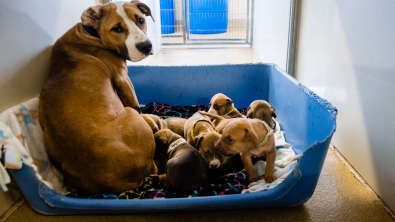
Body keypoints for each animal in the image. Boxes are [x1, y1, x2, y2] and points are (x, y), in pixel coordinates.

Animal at [39, 2, 157, 195]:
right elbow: (135, 103)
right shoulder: (122, 79)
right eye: (117, 28)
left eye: (140, 20)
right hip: (129, 114)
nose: (146, 46)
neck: (91, 33)